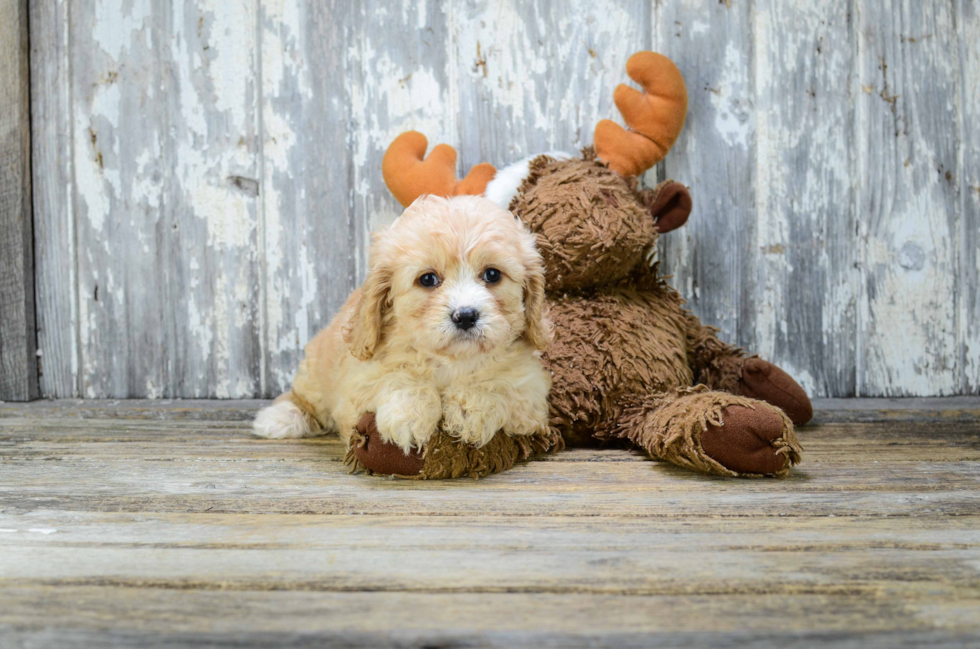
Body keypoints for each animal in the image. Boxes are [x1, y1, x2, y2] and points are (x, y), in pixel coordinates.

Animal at [255, 195, 552, 454]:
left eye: (492, 274)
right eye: (428, 279)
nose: (466, 315)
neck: (451, 361)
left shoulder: (531, 392)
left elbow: (499, 384)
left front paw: (470, 410)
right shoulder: (359, 378)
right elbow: (397, 377)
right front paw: (410, 416)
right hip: (315, 371)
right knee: (304, 399)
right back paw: (279, 417)